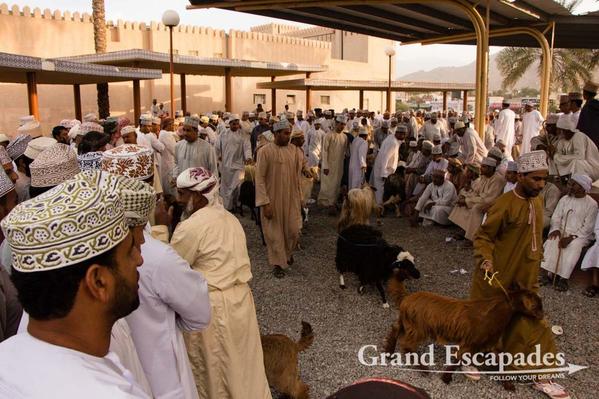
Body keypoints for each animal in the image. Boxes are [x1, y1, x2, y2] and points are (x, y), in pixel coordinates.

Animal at [386, 282, 548, 384]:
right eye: (538, 305)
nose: (543, 316)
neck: (496, 312)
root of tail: (406, 298)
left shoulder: (489, 343)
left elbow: (500, 359)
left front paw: (509, 385)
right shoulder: (472, 341)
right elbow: (458, 358)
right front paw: (446, 379)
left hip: (406, 322)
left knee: (394, 329)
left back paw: (389, 353)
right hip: (418, 328)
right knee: (407, 345)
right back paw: (423, 369)